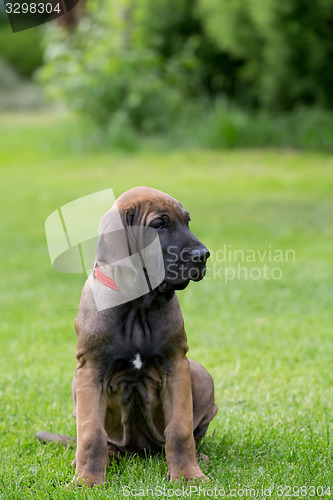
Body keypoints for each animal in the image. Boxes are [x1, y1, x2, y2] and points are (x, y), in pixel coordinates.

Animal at [39, 187, 215, 484]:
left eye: (187, 221)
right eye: (158, 225)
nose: (202, 255)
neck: (137, 305)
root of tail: (139, 451)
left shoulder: (176, 365)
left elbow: (179, 430)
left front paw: (188, 475)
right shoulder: (90, 370)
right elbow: (91, 434)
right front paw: (88, 480)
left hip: (201, 374)